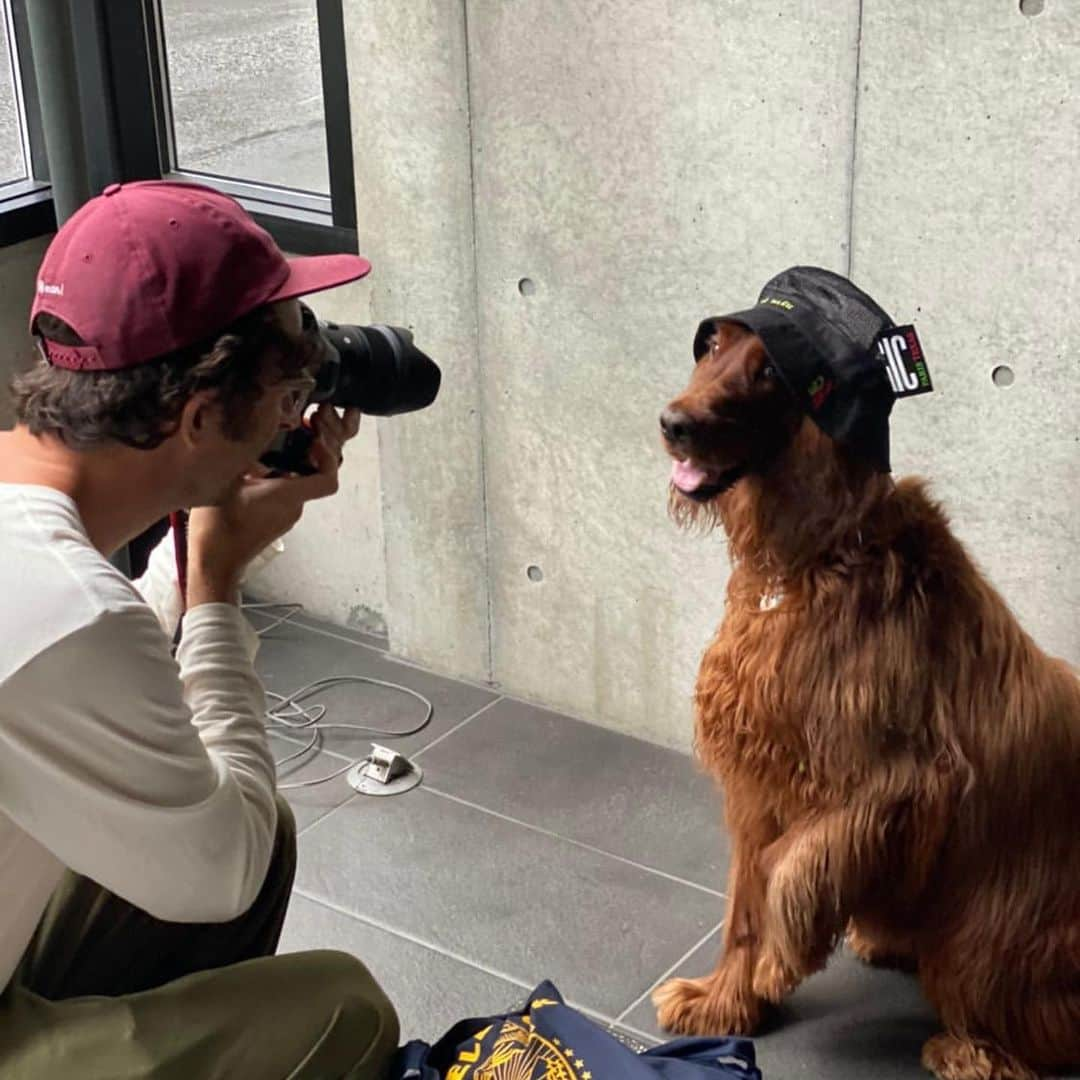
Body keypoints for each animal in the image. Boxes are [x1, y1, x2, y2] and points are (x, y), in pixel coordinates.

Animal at [648, 319, 1080, 1080]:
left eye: (769, 371)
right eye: (713, 348)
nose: (675, 423)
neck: (809, 560)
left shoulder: (901, 781)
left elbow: (785, 869)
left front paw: (780, 957)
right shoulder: (756, 780)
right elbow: (744, 902)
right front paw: (724, 1003)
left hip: (994, 926)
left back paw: (964, 1047)